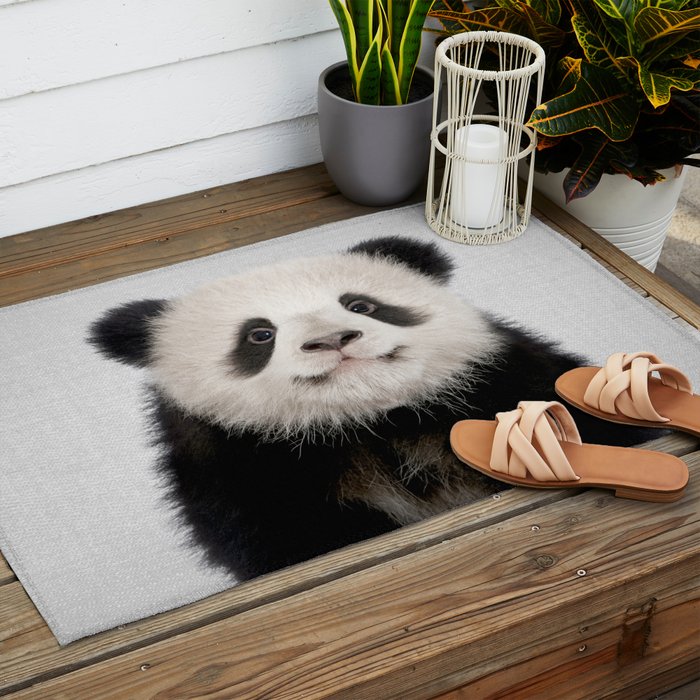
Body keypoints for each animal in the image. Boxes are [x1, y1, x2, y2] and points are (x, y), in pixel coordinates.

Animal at [89, 236, 648, 581]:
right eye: (258, 334)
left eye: (360, 305)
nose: (334, 340)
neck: (368, 422)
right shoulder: (240, 475)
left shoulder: (503, 381)